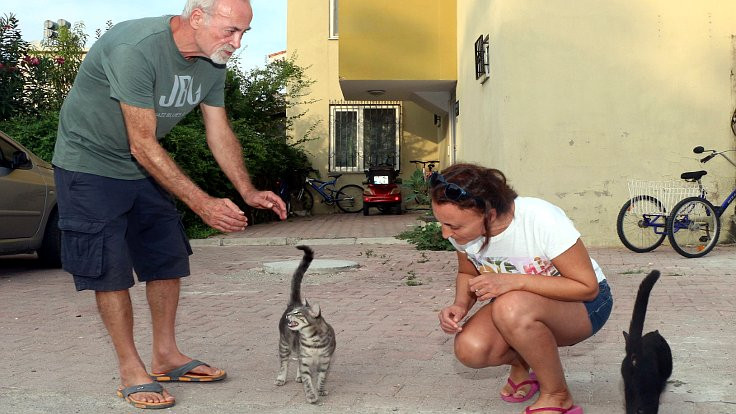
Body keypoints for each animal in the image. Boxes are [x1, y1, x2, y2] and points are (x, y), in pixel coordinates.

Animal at [274, 244, 336, 402]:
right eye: (293, 312)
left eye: (297, 313)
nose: (289, 315)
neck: (312, 339)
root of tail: (295, 302)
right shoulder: (305, 360)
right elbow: (308, 381)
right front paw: (311, 396)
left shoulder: (325, 362)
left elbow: (321, 379)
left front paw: (320, 390)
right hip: (284, 344)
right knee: (284, 363)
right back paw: (281, 378)